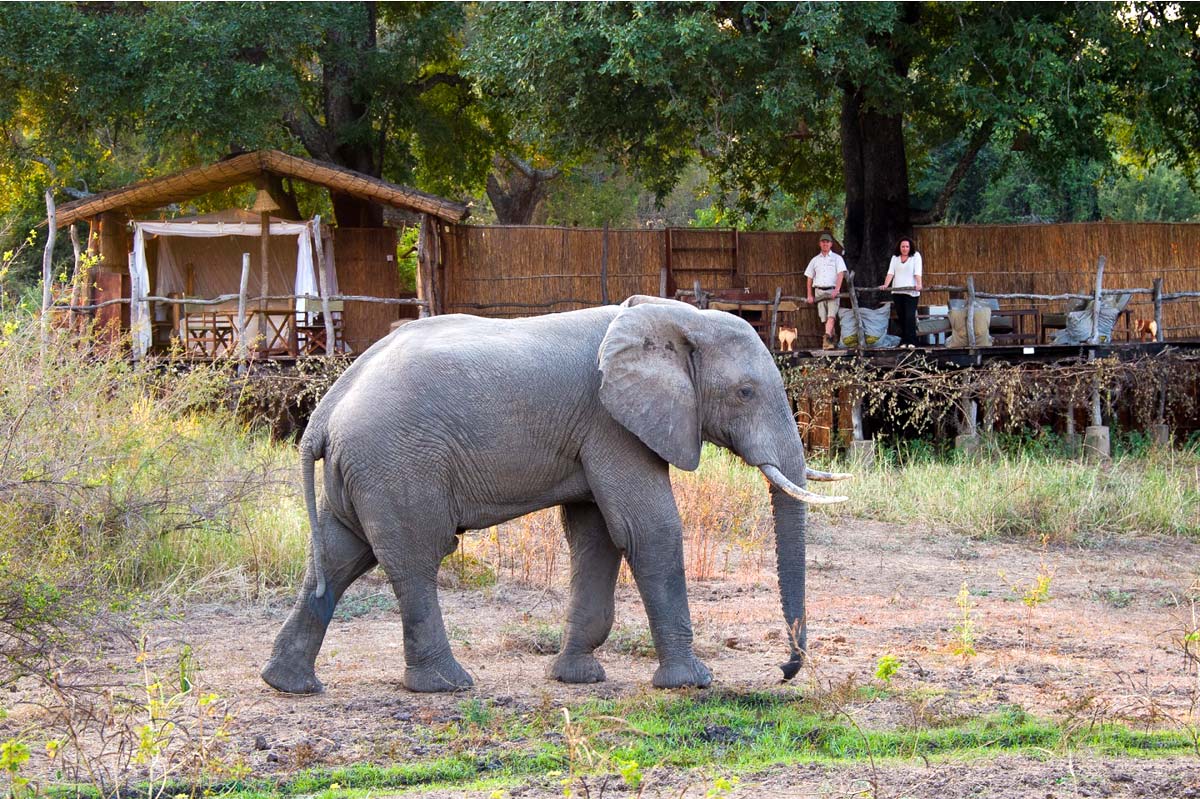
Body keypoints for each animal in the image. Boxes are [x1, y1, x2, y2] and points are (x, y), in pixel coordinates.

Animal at [261, 295, 849, 695]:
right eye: (745, 393)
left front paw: (576, 679)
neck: (672, 318)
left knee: (338, 557)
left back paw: (288, 684)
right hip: (396, 464)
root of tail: (324, 411)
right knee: (414, 558)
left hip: (365, 470)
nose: (783, 671)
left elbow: (596, 537)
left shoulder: (599, 431)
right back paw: (448, 685)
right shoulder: (610, 422)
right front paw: (691, 683)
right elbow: (648, 528)